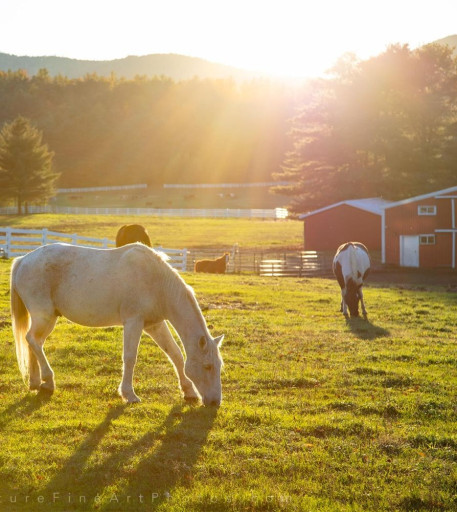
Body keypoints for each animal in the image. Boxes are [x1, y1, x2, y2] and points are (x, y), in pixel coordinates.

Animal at [9, 242, 224, 406]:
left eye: (218, 366)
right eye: (207, 366)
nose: (215, 402)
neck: (157, 281)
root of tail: (23, 260)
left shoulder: (154, 325)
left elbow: (175, 354)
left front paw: (189, 392)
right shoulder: (133, 322)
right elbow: (130, 357)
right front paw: (129, 394)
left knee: (33, 342)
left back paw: (36, 382)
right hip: (45, 317)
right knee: (33, 340)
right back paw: (48, 380)